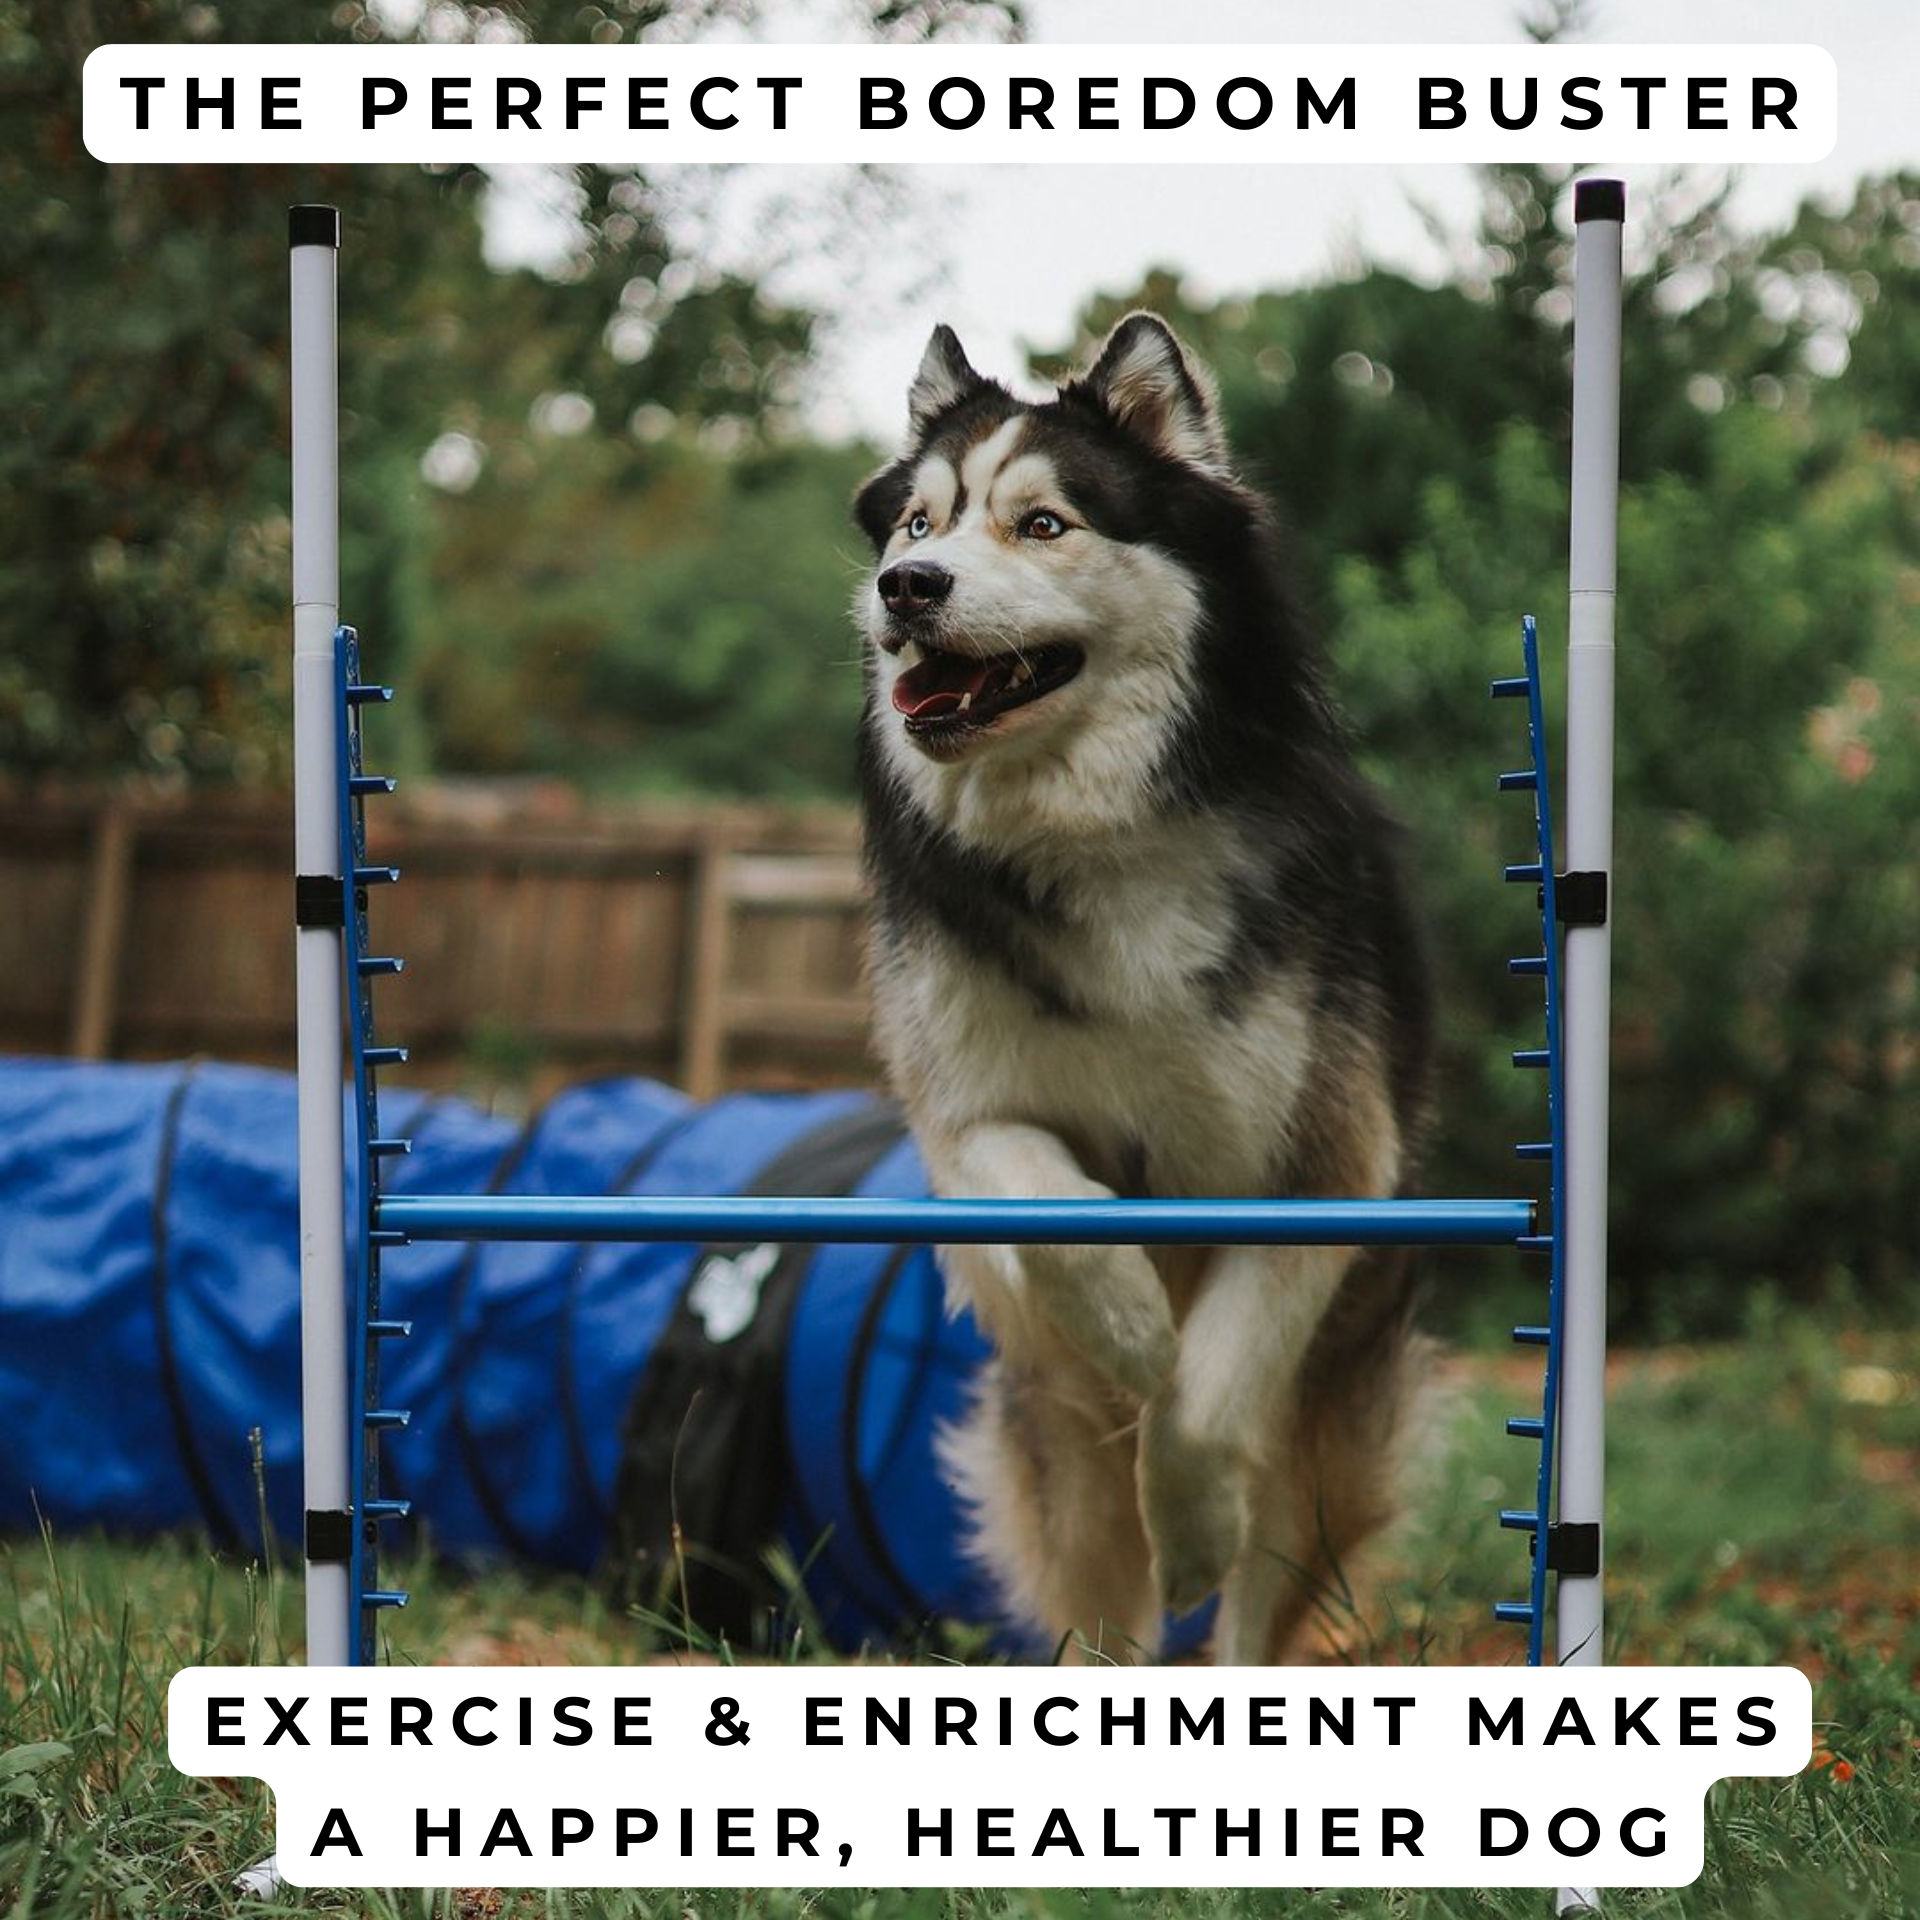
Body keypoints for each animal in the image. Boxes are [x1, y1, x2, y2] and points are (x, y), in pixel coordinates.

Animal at [852, 314, 1428, 1666]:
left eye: (1042, 523)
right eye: (920, 523)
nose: (909, 590)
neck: (1093, 835)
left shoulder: (1327, 1167)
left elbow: (1203, 1403)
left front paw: (1194, 1511)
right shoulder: (967, 1116)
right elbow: (1057, 1209)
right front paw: (1130, 1323)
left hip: (1322, 1449)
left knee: (1262, 1593)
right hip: (1063, 1465)